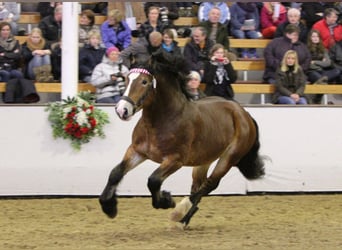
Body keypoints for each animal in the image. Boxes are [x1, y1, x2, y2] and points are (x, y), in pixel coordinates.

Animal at [99, 53, 264, 228]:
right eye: (126, 79)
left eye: (144, 82)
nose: (122, 110)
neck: (161, 121)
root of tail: (244, 113)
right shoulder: (137, 151)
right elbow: (115, 173)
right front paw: (108, 207)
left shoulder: (175, 160)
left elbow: (153, 180)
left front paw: (166, 201)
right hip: (204, 160)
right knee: (198, 185)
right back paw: (185, 219)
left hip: (229, 157)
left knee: (209, 185)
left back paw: (180, 213)